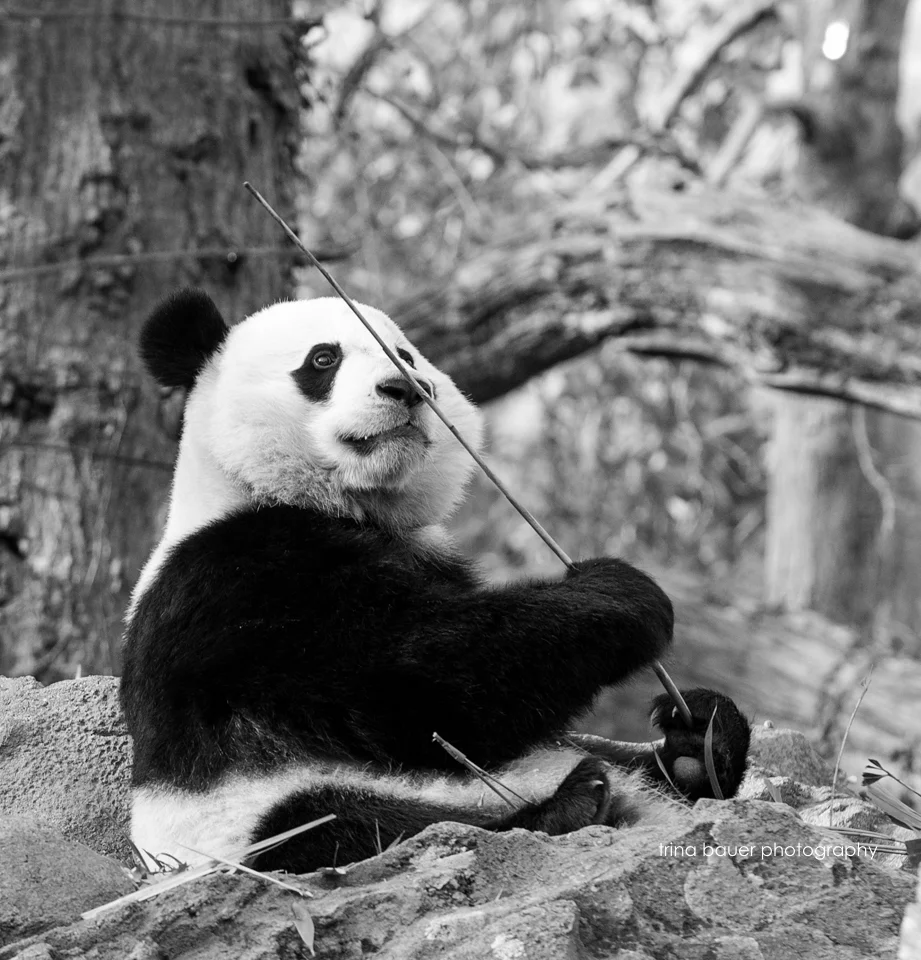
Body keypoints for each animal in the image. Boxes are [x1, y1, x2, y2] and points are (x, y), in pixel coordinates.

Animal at [121, 288, 751, 875]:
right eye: (323, 358)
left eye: (404, 353)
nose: (405, 387)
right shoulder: (236, 582)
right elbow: (415, 689)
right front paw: (622, 595)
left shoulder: (426, 554)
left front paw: (695, 720)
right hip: (242, 819)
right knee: (338, 824)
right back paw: (568, 803)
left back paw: (698, 749)